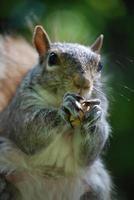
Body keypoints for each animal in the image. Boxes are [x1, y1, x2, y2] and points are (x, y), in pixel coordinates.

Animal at [0, 25, 111, 199]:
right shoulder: (21, 107)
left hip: (97, 185)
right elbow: (28, 129)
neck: (57, 99)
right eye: (52, 58)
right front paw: (64, 109)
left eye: (100, 65)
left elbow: (90, 152)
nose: (83, 82)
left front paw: (95, 116)